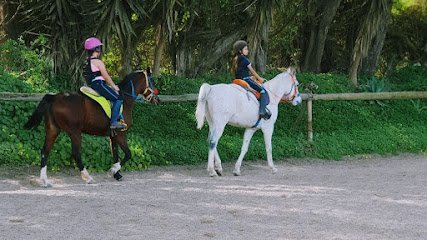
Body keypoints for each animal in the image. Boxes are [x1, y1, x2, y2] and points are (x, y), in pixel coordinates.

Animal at [22, 68, 159, 187]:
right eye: (151, 82)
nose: (157, 100)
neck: (125, 99)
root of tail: (55, 97)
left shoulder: (113, 135)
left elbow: (115, 154)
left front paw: (117, 174)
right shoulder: (121, 134)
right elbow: (128, 154)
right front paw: (113, 170)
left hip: (53, 129)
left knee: (45, 151)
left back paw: (44, 181)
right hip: (75, 132)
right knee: (76, 154)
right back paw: (87, 177)